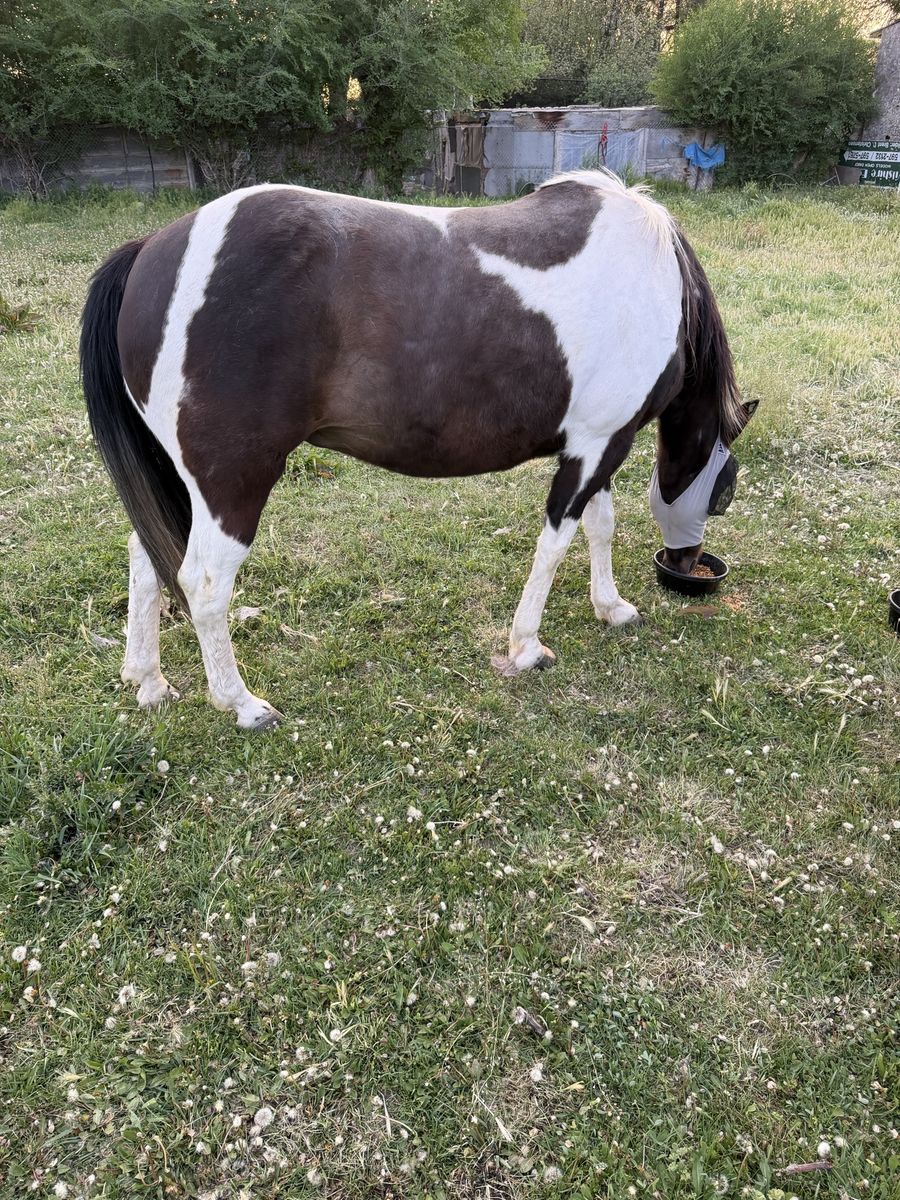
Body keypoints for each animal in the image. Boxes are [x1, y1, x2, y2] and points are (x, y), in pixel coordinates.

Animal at [80, 169, 755, 730]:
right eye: (723, 493)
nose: (689, 564)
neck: (655, 278)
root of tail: (154, 251)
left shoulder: (599, 443)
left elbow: (600, 526)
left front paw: (611, 607)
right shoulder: (596, 448)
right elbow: (556, 542)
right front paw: (527, 646)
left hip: (180, 478)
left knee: (147, 556)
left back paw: (148, 680)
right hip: (232, 483)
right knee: (202, 581)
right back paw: (241, 704)